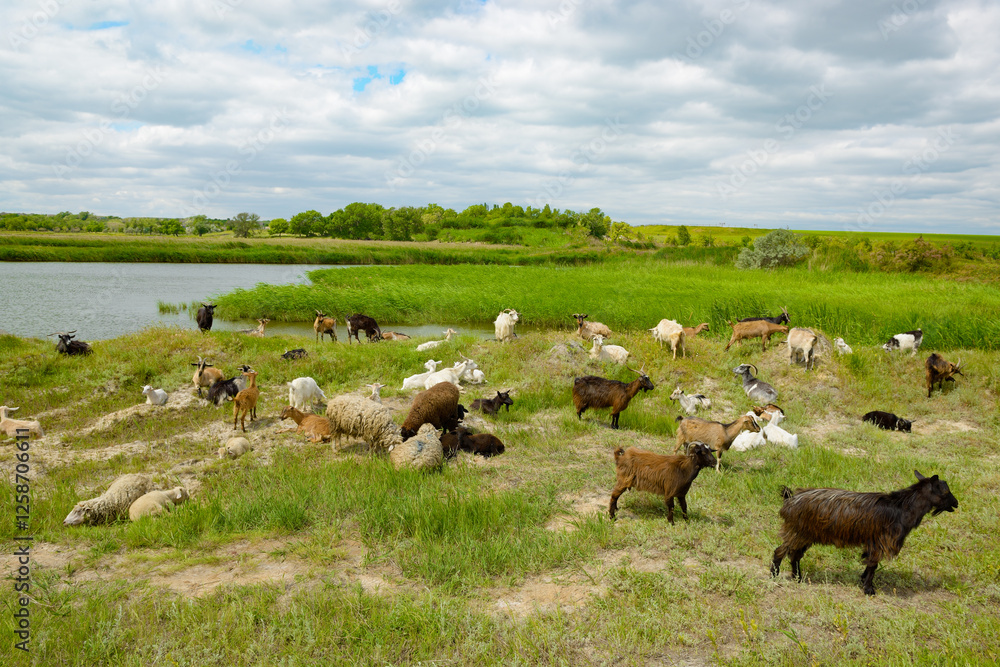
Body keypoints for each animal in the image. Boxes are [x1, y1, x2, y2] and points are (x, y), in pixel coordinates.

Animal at [772, 471, 958, 595]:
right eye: (945, 491)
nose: (956, 503)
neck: (901, 508)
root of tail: (789, 499)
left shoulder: (872, 543)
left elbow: (869, 564)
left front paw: (863, 580)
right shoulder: (881, 541)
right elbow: (873, 565)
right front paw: (869, 589)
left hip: (806, 535)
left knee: (795, 555)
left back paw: (798, 577)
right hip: (798, 532)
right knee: (781, 551)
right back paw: (774, 574)